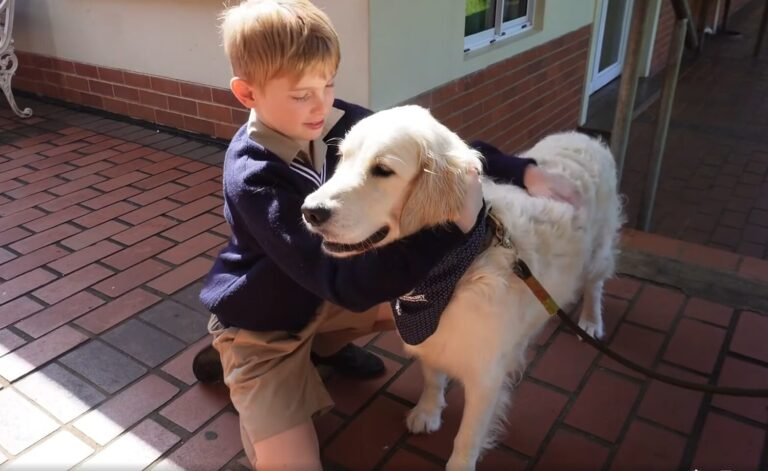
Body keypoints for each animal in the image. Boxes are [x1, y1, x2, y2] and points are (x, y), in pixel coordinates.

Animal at [302, 105, 623, 470]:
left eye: (383, 170)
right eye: (342, 157)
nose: (310, 211)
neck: (451, 267)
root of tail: (585, 138)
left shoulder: (486, 377)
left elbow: (468, 437)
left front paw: (459, 461)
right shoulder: (432, 339)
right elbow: (432, 377)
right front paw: (428, 411)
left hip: (598, 252)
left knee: (595, 284)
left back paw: (590, 321)